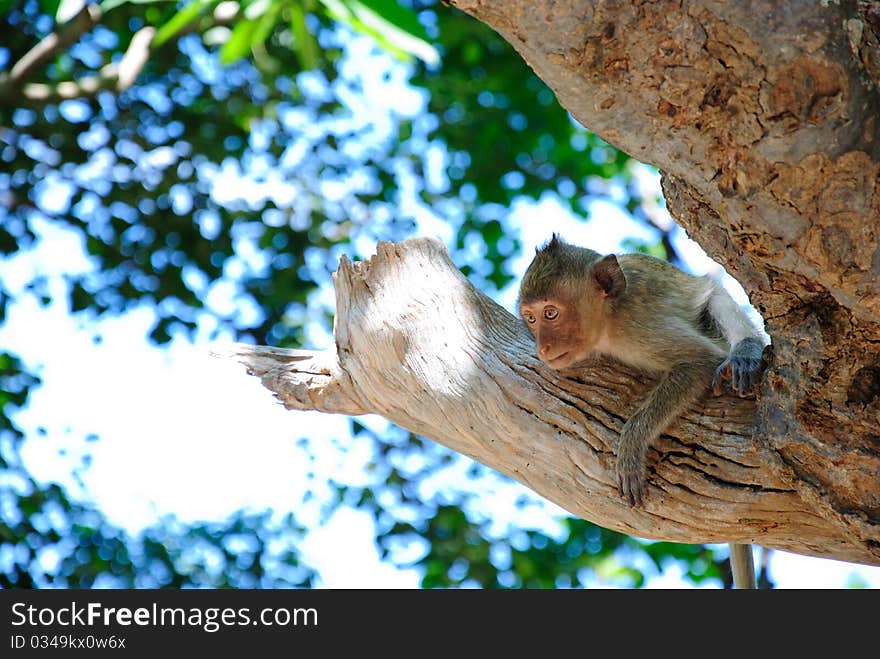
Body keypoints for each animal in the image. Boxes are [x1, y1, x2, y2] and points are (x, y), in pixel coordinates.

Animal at [520, 235, 768, 508]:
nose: (543, 348)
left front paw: (632, 444)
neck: (608, 318)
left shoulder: (638, 328)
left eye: (550, 313)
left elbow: (700, 360)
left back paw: (746, 350)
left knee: (715, 295)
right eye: (531, 319)